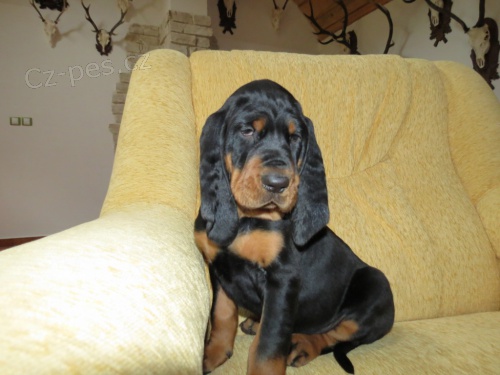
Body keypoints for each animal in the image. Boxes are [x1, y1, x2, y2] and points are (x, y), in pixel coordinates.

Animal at [195, 81, 394, 374]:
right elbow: (222, 315)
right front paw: (212, 354)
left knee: (335, 333)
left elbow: (268, 346)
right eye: (247, 131)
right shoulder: (220, 269)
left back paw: (302, 345)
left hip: (376, 284)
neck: (246, 219)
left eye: (295, 137)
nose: (278, 183)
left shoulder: (282, 279)